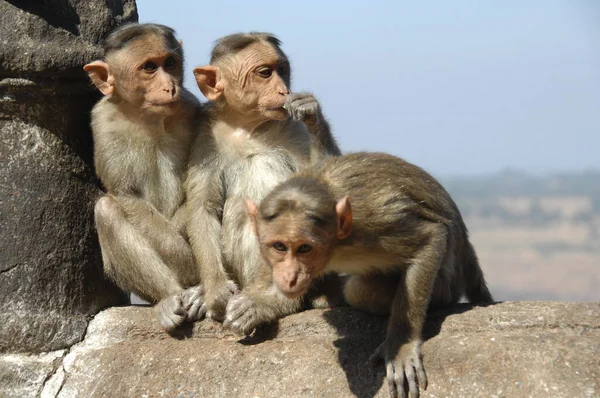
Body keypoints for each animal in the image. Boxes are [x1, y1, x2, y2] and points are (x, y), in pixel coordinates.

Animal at [83, 23, 207, 332]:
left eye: (170, 63)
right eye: (149, 67)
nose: (170, 86)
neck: (145, 116)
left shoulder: (190, 107)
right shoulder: (102, 120)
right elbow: (125, 194)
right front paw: (180, 256)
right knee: (107, 209)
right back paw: (169, 298)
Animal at [185, 32, 340, 334]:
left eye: (283, 70)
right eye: (265, 73)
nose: (283, 90)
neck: (248, 127)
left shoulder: (294, 130)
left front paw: (311, 111)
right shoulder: (204, 137)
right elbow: (202, 208)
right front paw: (216, 290)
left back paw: (273, 302)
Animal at [246, 152, 494, 398]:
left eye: (304, 248)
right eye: (279, 247)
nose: (290, 277)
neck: (337, 244)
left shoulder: (377, 221)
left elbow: (430, 238)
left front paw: (400, 345)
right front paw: (263, 303)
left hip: (444, 287)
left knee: (358, 291)